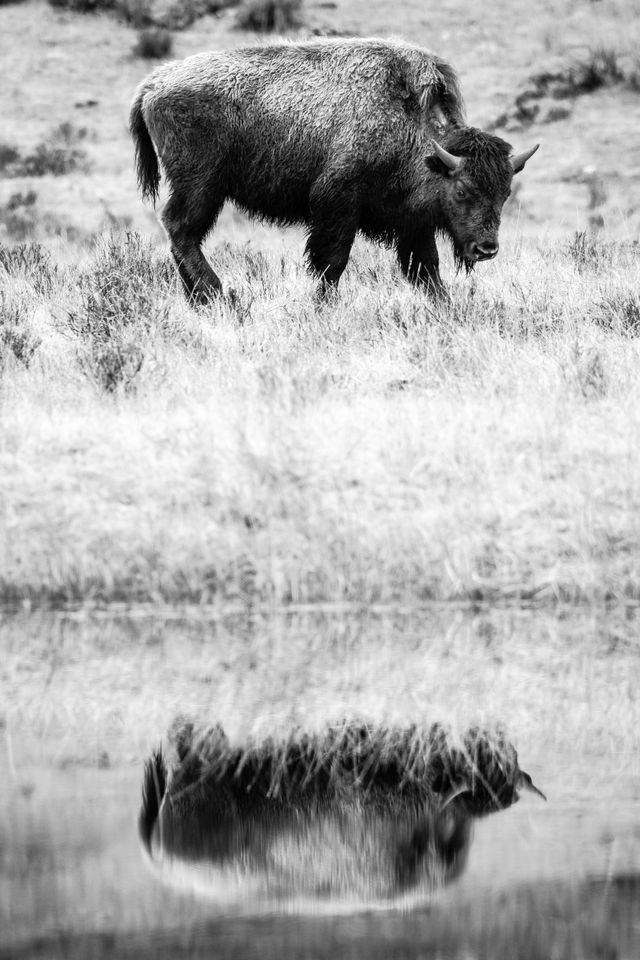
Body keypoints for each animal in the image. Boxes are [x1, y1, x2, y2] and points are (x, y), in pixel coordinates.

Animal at [130, 39, 540, 302]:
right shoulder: (339, 205)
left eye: (505, 193)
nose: (487, 248)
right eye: (462, 190)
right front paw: (321, 306)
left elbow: (426, 270)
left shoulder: (413, 221)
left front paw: (447, 309)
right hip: (201, 185)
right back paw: (219, 294)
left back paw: (199, 299)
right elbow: (333, 263)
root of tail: (153, 82)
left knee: (182, 236)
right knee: (181, 229)